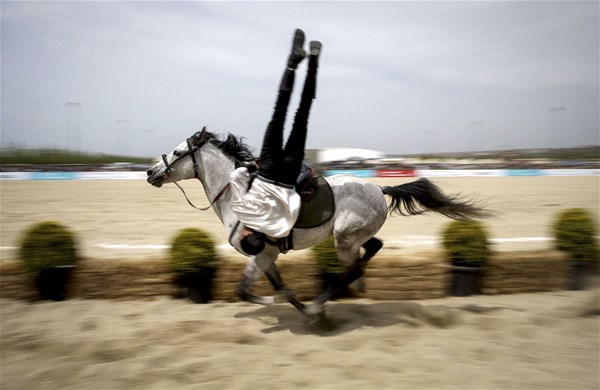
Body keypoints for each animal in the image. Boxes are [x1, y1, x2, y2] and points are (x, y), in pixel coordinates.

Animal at [146, 128, 488, 320]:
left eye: (177, 152)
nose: (150, 172)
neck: (237, 195)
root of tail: (379, 188)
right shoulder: (267, 255)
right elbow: (279, 287)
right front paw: (303, 310)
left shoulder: (262, 252)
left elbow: (246, 290)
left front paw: (298, 307)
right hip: (352, 237)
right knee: (372, 249)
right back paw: (346, 292)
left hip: (344, 240)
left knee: (354, 267)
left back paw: (335, 294)